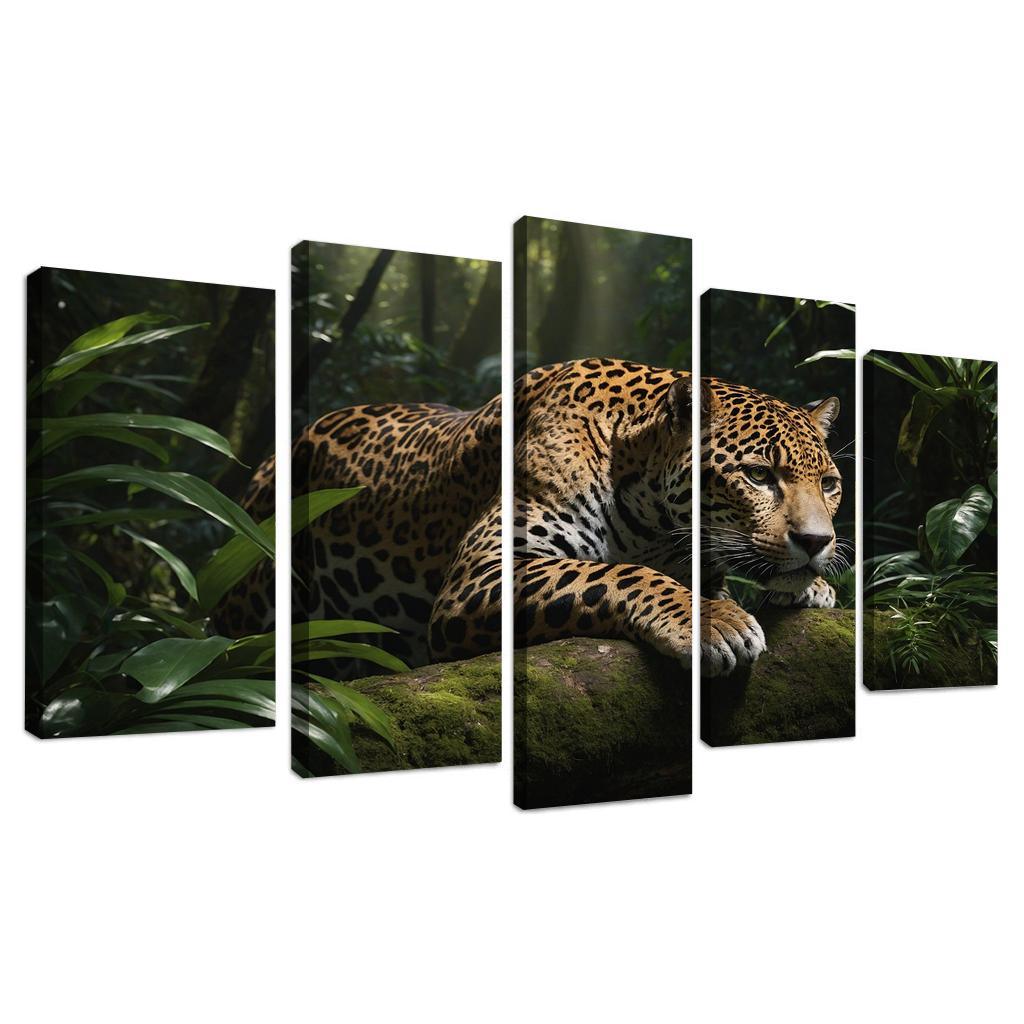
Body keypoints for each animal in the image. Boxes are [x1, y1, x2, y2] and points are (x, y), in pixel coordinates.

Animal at [512, 357, 844, 677]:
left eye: (828, 484)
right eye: (759, 475)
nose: (816, 541)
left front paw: (815, 588)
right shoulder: (504, 558)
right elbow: (622, 573)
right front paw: (716, 622)